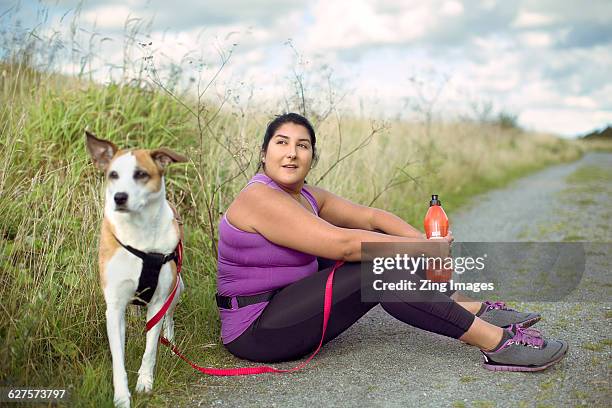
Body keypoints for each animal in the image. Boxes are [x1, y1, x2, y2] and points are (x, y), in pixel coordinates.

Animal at [85, 132, 186, 406]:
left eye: (141, 174)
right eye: (113, 174)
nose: (119, 197)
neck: (139, 232)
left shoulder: (159, 300)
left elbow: (150, 348)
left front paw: (145, 383)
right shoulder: (114, 307)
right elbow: (117, 358)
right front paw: (121, 396)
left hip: (177, 287)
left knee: (169, 318)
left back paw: (172, 345)